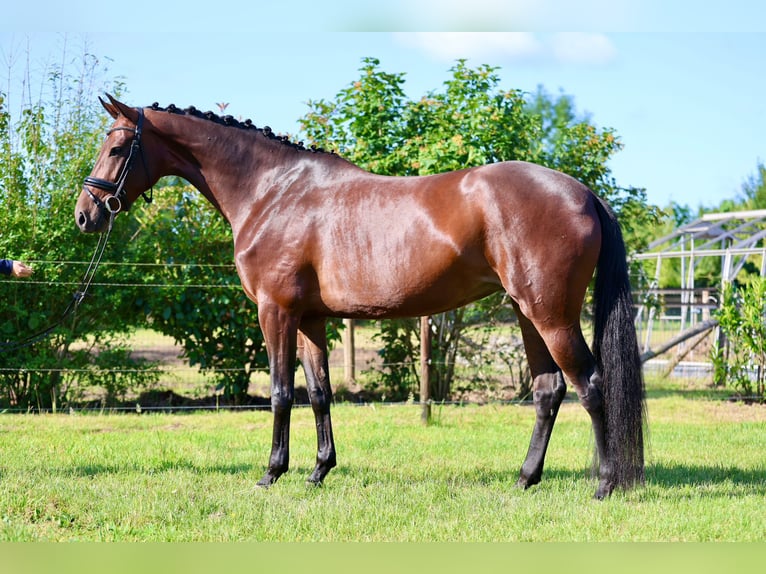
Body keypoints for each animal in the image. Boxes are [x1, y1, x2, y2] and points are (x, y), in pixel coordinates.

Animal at [75, 95, 645, 499]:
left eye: (118, 148)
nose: (86, 214)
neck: (272, 191)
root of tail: (583, 193)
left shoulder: (274, 312)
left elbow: (280, 393)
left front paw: (272, 474)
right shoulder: (310, 319)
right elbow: (319, 392)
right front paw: (318, 471)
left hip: (551, 315)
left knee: (590, 385)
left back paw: (605, 484)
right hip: (528, 313)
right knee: (548, 390)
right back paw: (525, 479)